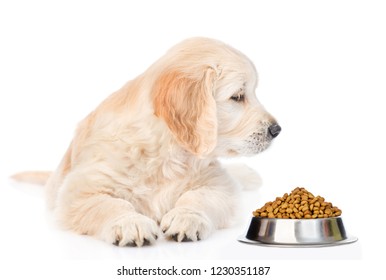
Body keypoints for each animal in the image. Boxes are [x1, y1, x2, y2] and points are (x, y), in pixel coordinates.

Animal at [12, 37, 278, 245]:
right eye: (238, 96)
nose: (277, 129)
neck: (166, 153)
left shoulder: (217, 182)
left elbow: (199, 197)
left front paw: (186, 217)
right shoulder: (79, 191)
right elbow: (111, 204)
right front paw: (130, 223)